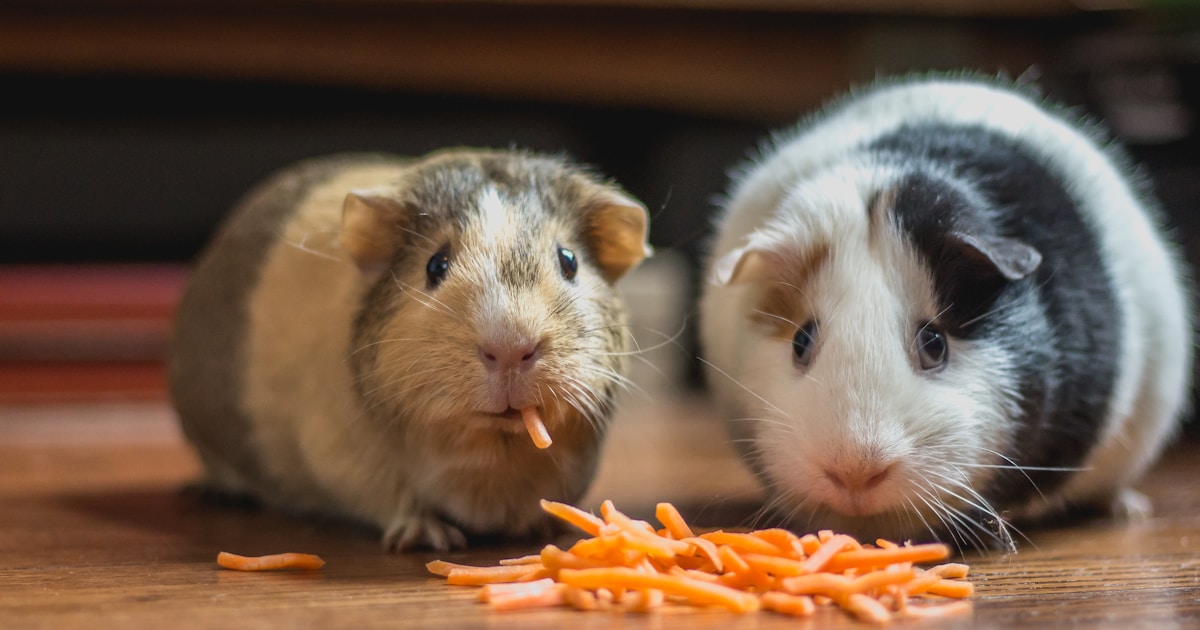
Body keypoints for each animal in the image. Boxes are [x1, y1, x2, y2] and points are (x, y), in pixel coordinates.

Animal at [168, 148, 651, 551]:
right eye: (435, 265)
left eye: (569, 261)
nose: (511, 348)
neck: (494, 453)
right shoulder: (346, 462)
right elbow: (399, 500)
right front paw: (430, 539)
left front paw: (548, 525)